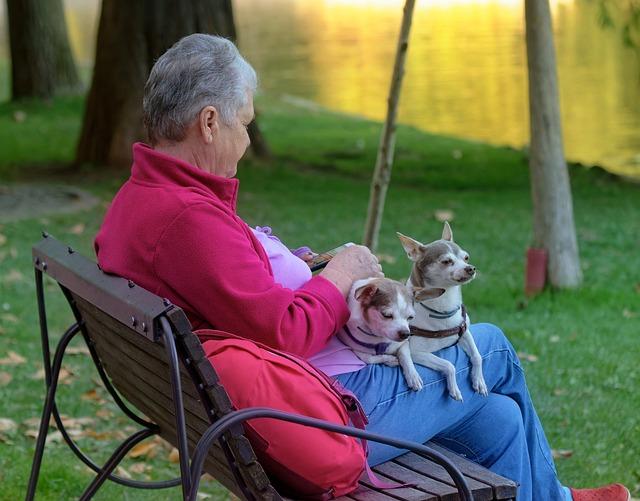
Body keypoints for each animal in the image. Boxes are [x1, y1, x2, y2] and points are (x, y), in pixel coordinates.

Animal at [398, 222, 488, 398]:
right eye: (446, 261)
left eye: (466, 258)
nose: (471, 268)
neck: (445, 306)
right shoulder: (416, 352)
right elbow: (449, 365)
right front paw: (454, 388)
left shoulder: (464, 332)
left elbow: (477, 356)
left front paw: (479, 380)